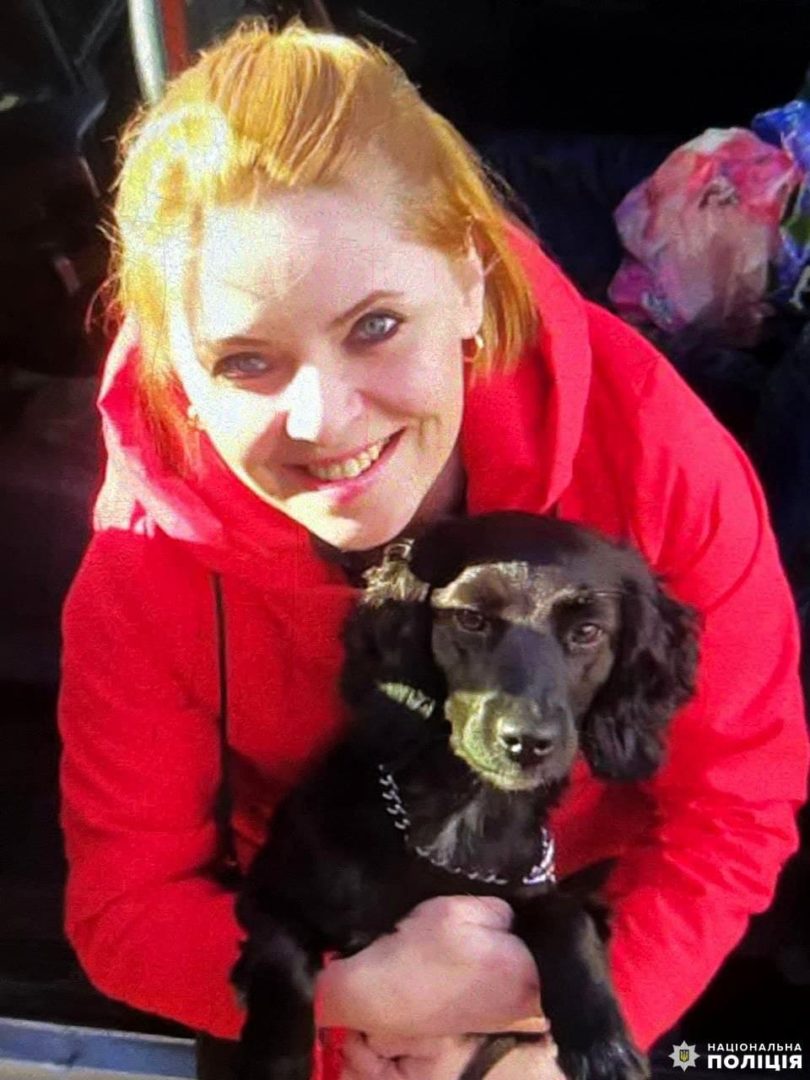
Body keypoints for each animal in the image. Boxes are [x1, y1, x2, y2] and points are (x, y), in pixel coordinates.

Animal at [232, 511, 699, 1080]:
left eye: (587, 632)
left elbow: (567, 917)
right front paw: (275, 1061)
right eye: (470, 619)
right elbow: (282, 966)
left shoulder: (528, 892)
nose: (527, 742)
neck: (462, 819)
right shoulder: (268, 892)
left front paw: (603, 1044)